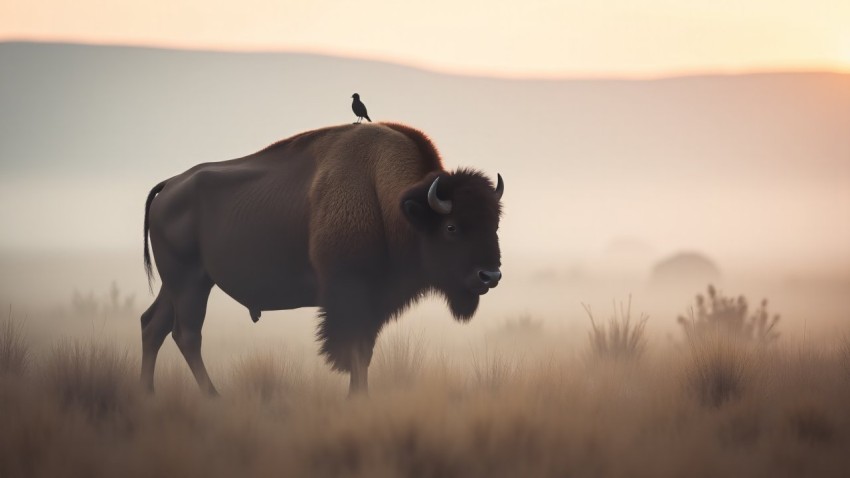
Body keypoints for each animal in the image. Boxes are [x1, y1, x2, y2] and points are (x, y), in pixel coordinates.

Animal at [141, 123, 504, 396]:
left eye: (495, 224)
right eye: (451, 227)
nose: (490, 275)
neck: (389, 202)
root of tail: (169, 186)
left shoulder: (376, 302)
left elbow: (364, 352)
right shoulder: (350, 297)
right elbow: (353, 351)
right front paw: (357, 398)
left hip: (178, 285)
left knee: (153, 325)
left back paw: (149, 393)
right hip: (190, 282)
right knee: (187, 334)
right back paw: (213, 397)